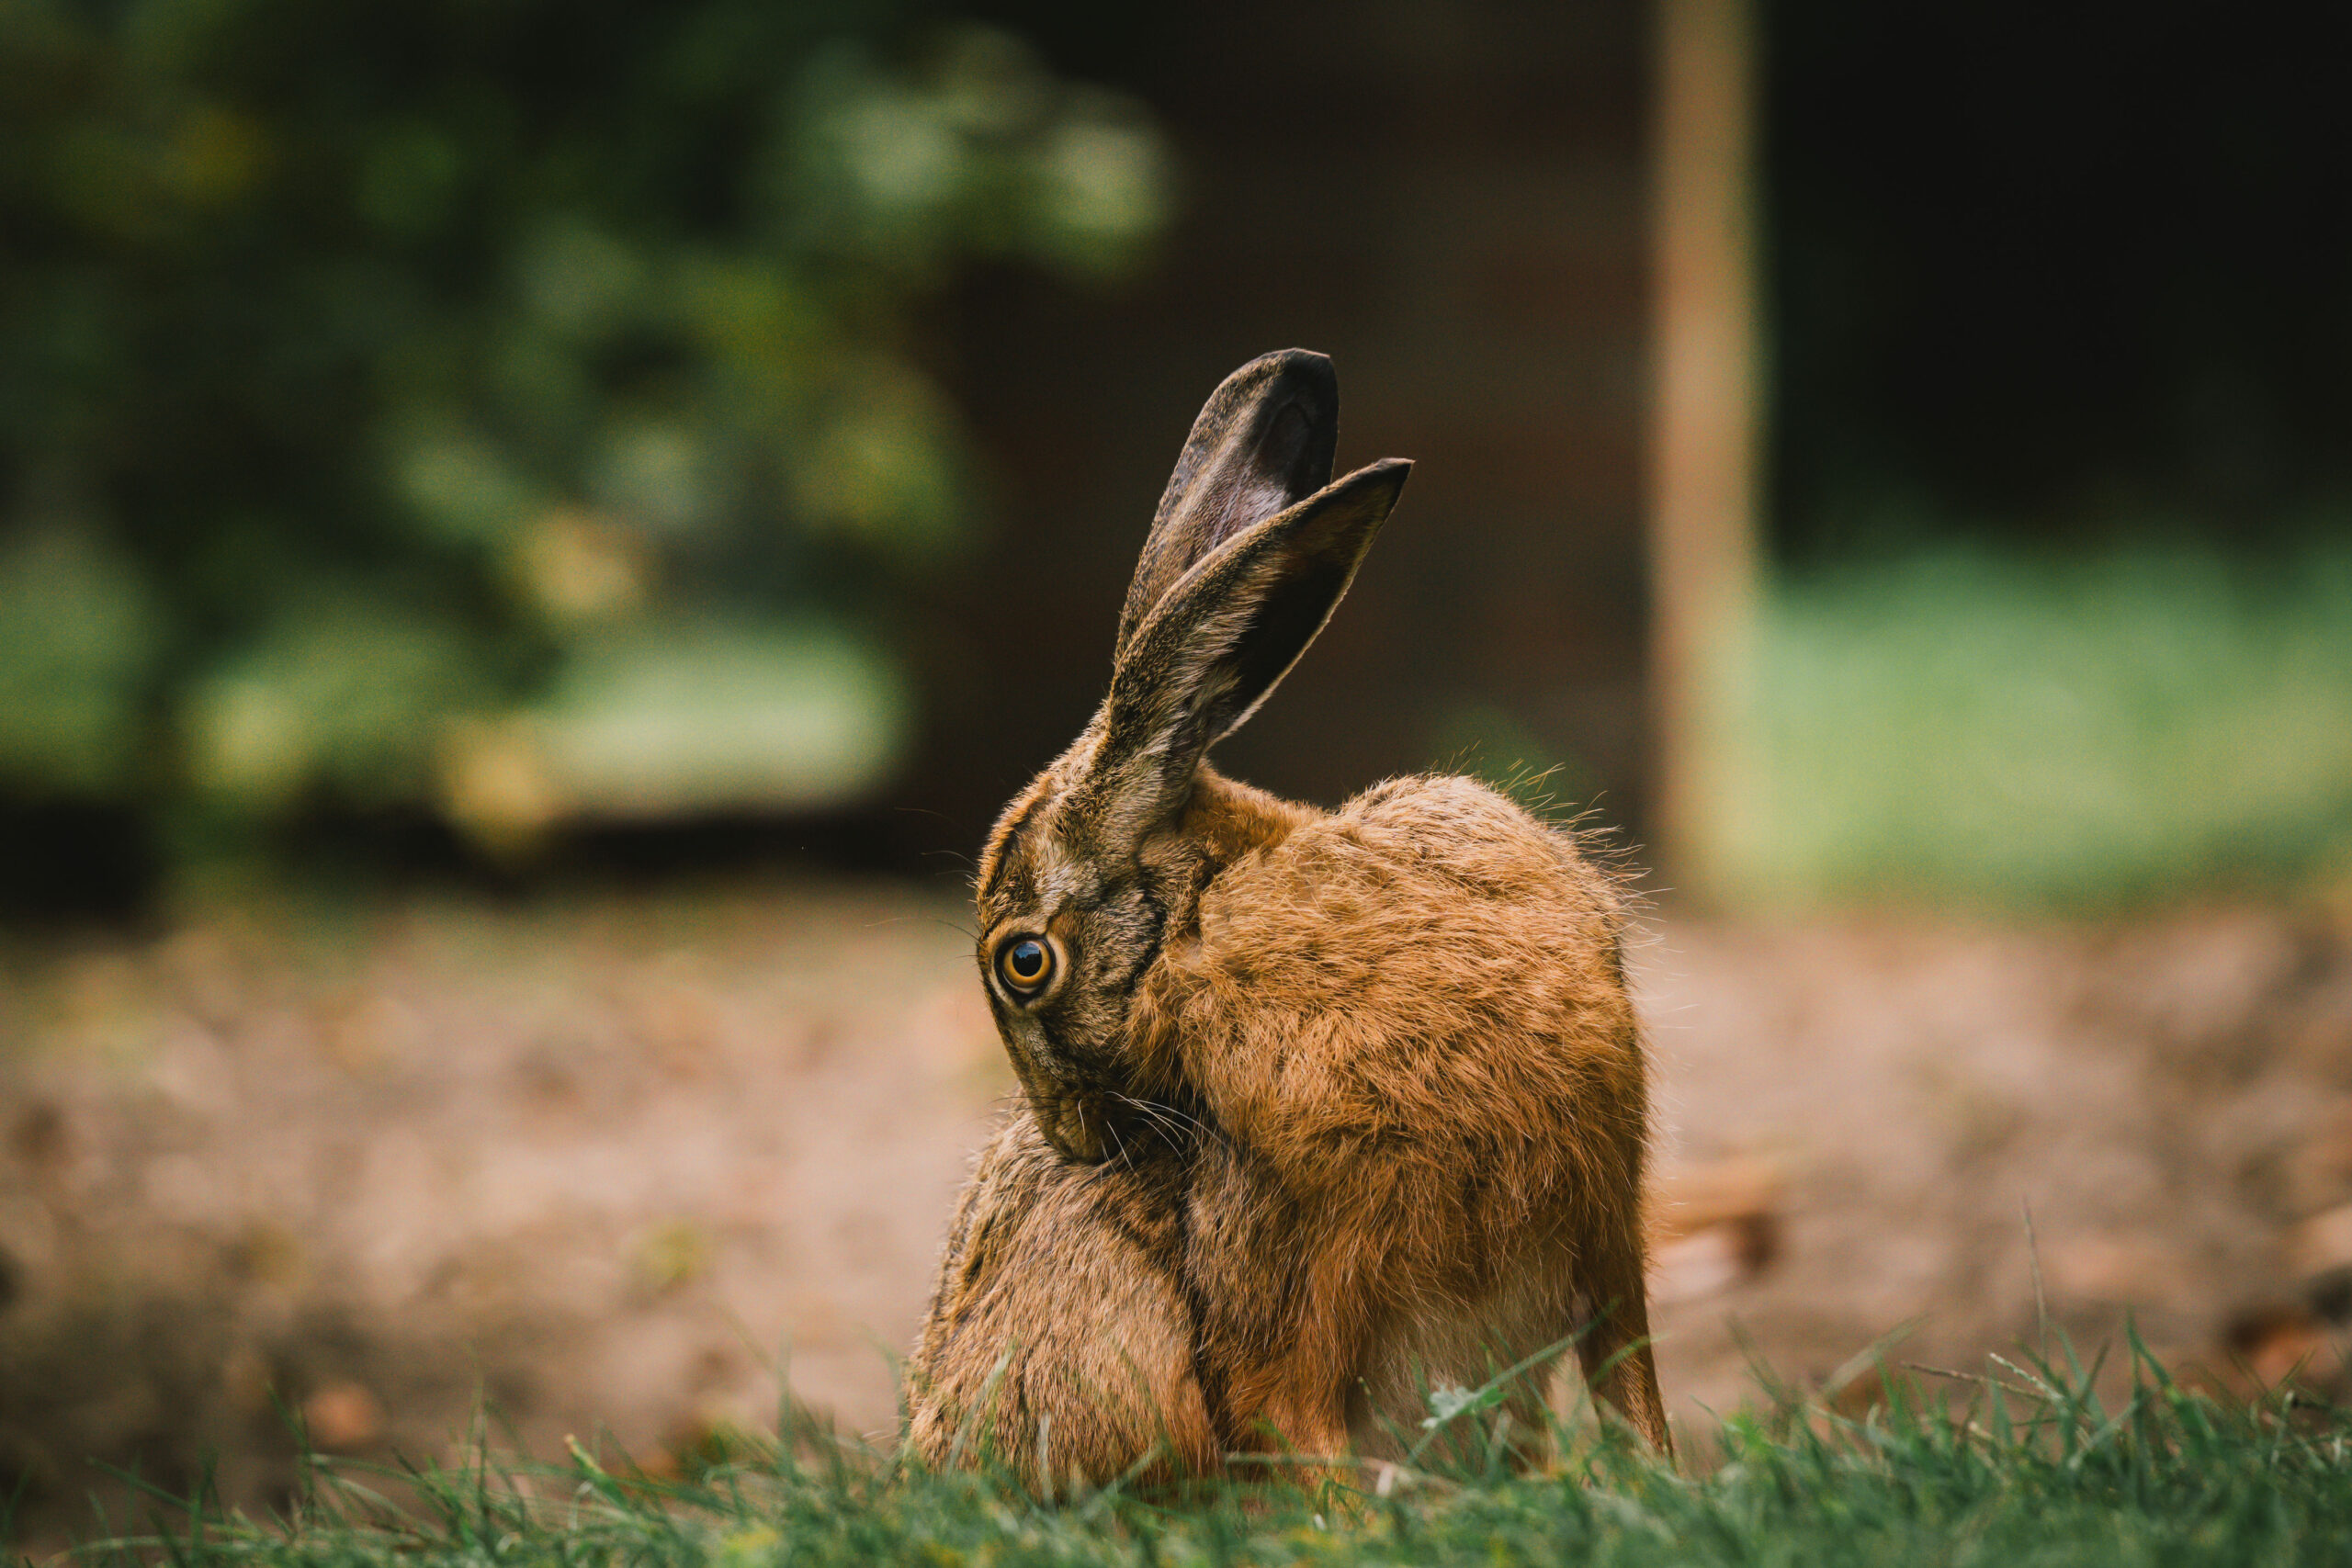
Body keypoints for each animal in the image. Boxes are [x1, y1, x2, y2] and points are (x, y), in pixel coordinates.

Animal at [905, 349, 1670, 1492]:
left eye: (1023, 962)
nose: (1064, 1138)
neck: (1209, 914)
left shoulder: (1603, 1231)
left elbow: (1632, 1390)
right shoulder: (1281, 1269)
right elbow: (1290, 1423)